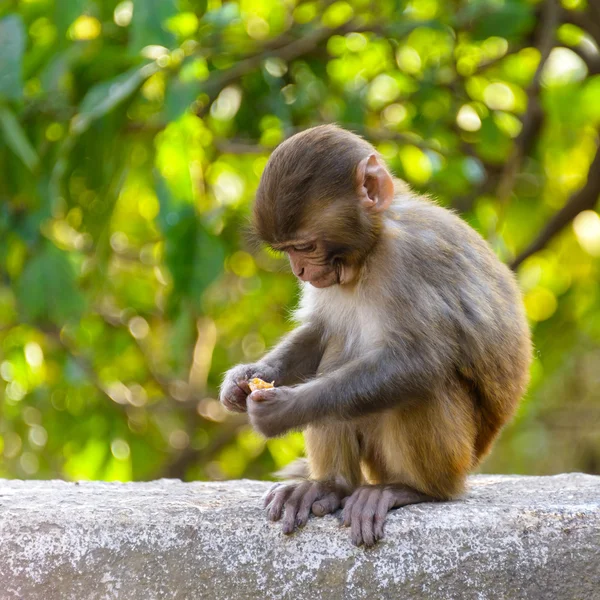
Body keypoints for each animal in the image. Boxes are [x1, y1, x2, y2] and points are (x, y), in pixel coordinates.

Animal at [219, 124, 528, 548]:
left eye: (305, 246)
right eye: (286, 251)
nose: (299, 270)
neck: (371, 250)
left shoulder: (409, 258)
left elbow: (420, 362)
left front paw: (287, 409)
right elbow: (319, 332)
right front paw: (243, 380)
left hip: (455, 459)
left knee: (424, 387)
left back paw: (412, 490)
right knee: (338, 350)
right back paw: (330, 486)